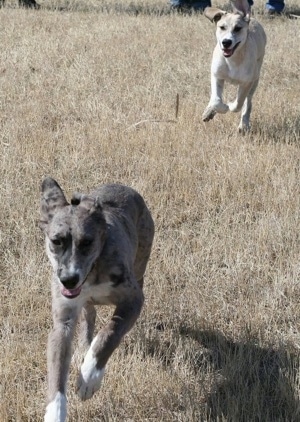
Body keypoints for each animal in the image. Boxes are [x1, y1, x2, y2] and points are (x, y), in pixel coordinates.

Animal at [39, 177, 155, 422]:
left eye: (87, 242)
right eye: (56, 241)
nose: (68, 280)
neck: (92, 272)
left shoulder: (133, 300)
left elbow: (109, 333)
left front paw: (89, 376)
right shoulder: (62, 321)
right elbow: (56, 371)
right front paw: (55, 412)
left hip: (141, 263)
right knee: (88, 315)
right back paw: (83, 346)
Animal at [203, 0, 266, 132]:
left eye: (237, 28)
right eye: (222, 27)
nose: (226, 42)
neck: (233, 60)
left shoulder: (246, 82)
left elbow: (238, 103)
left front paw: (230, 105)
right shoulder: (216, 75)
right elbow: (216, 100)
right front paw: (215, 109)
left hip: (255, 79)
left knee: (247, 102)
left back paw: (244, 125)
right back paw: (209, 112)